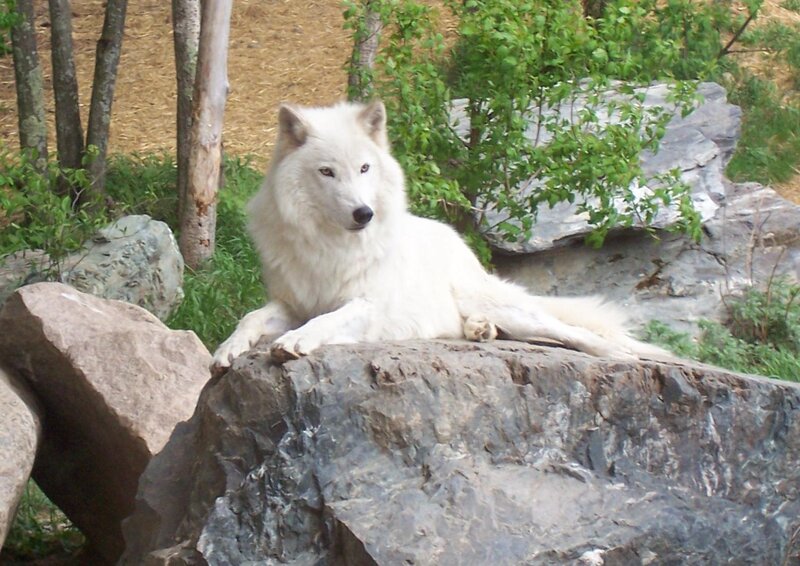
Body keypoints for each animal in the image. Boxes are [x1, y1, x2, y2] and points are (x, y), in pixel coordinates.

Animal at [211, 100, 670, 371]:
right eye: (327, 172)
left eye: (364, 168)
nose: (364, 214)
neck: (330, 245)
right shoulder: (292, 302)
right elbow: (250, 317)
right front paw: (226, 349)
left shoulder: (369, 303)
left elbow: (330, 318)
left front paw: (296, 340)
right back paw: (480, 332)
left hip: (500, 304)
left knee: (576, 334)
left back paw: (622, 354)